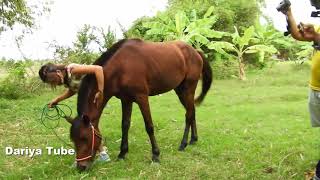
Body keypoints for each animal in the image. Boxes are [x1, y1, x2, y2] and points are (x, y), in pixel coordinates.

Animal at [69, 38, 212, 171]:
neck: (122, 66)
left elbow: (149, 126)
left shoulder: (142, 98)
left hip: (188, 89)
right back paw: (193, 139)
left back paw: (183, 144)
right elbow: (125, 125)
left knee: (188, 115)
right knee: (192, 112)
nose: (81, 167)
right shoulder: (126, 100)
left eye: (84, 138)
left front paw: (156, 155)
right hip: (180, 91)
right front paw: (122, 153)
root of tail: (196, 52)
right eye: (73, 140)